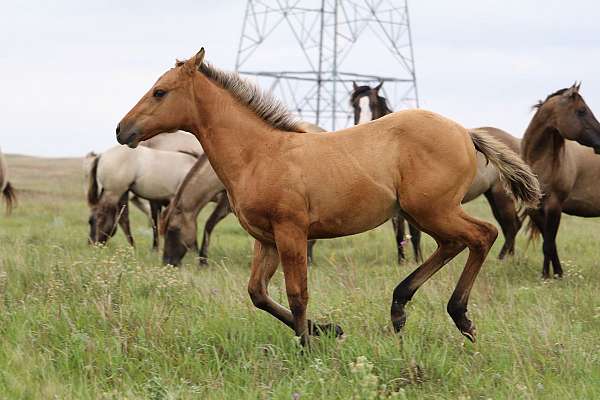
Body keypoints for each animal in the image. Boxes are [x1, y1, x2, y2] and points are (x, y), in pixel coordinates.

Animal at [350, 83, 524, 260]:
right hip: (491, 195)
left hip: (501, 195)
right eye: (355, 105)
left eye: (373, 104)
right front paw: (401, 261)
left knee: (512, 225)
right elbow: (399, 234)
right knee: (509, 225)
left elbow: (414, 234)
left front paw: (417, 259)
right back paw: (509, 256)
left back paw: (503, 258)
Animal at [520, 82, 600, 278]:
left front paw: (547, 276)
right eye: (581, 111)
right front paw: (556, 274)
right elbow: (550, 243)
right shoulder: (535, 209)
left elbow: (548, 245)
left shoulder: (554, 206)